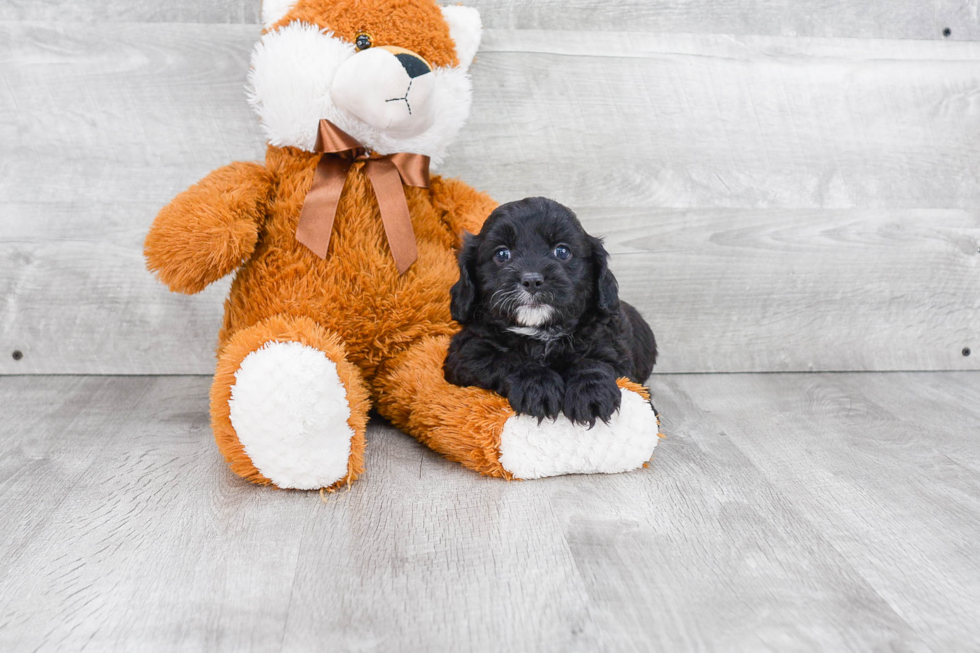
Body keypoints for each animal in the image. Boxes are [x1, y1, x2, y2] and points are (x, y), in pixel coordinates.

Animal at [446, 196, 660, 426]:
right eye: (502, 254)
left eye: (562, 251)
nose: (532, 280)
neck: (540, 331)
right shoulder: (466, 352)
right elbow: (507, 359)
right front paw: (537, 386)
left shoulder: (614, 350)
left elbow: (594, 361)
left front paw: (591, 393)